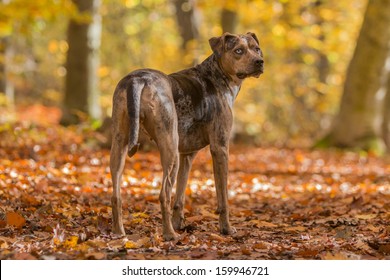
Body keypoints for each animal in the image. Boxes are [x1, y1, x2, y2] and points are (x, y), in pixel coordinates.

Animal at [110, 31, 266, 240]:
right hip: (170, 148)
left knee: (116, 196)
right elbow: (223, 197)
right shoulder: (220, 148)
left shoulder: (187, 155)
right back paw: (169, 234)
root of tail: (139, 79)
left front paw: (179, 223)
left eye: (256, 48)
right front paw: (226, 228)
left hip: (120, 145)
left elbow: (180, 195)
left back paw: (120, 233)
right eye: (238, 51)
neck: (218, 75)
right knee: (164, 194)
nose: (259, 61)